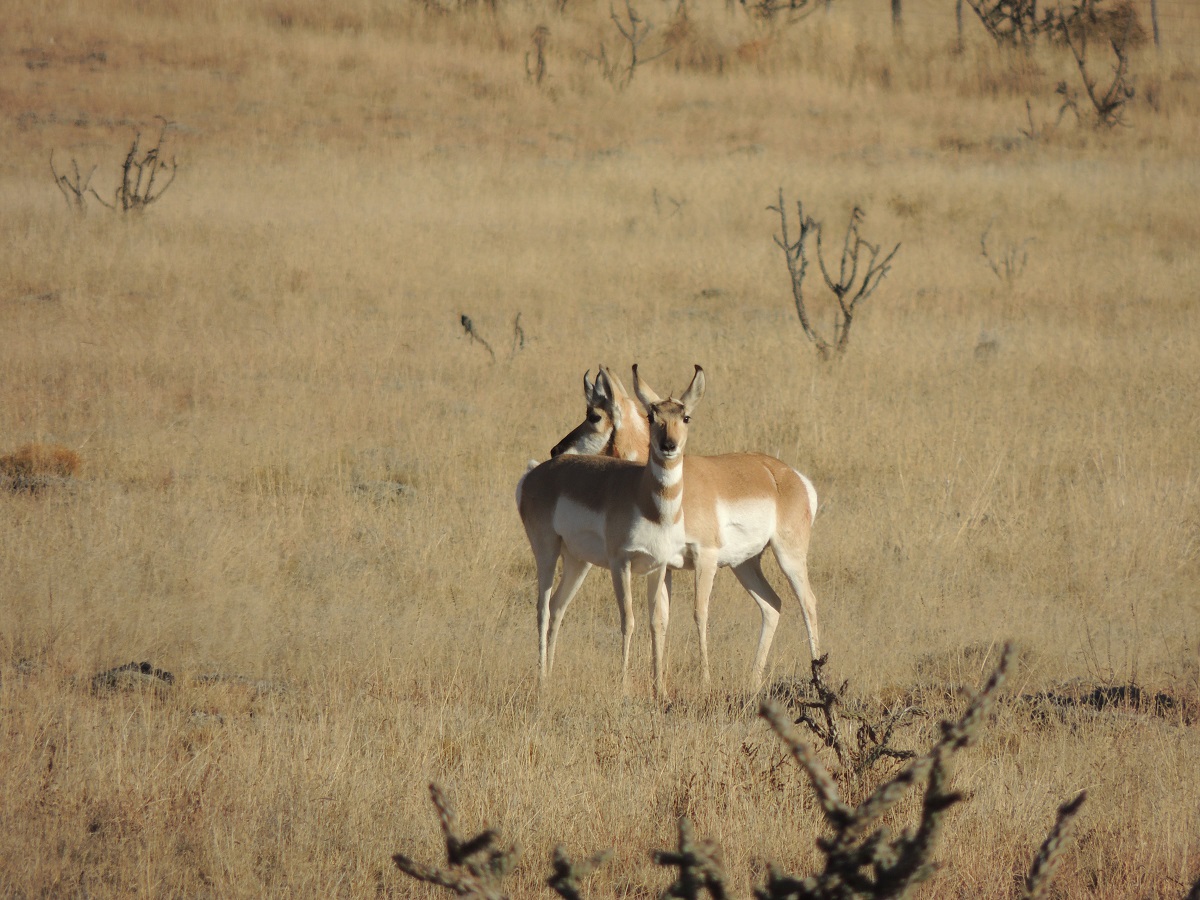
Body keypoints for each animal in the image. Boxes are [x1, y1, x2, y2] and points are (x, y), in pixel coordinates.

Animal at [516, 364, 700, 696]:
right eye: (651, 416)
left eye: (686, 417)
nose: (556, 449)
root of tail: (534, 474)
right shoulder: (620, 565)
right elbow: (629, 620)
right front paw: (625, 686)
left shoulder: (659, 567)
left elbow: (658, 621)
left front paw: (660, 690)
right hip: (547, 553)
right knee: (543, 609)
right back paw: (542, 681)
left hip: (578, 562)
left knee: (558, 607)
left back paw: (550, 674)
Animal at [549, 367, 816, 691]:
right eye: (652, 416)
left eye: (594, 416)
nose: (555, 450)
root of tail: (789, 475)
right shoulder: (666, 566)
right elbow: (661, 618)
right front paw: (659, 685)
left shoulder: (705, 558)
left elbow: (699, 614)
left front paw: (705, 682)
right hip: (745, 564)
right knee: (772, 604)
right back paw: (753, 683)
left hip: (789, 557)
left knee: (808, 604)